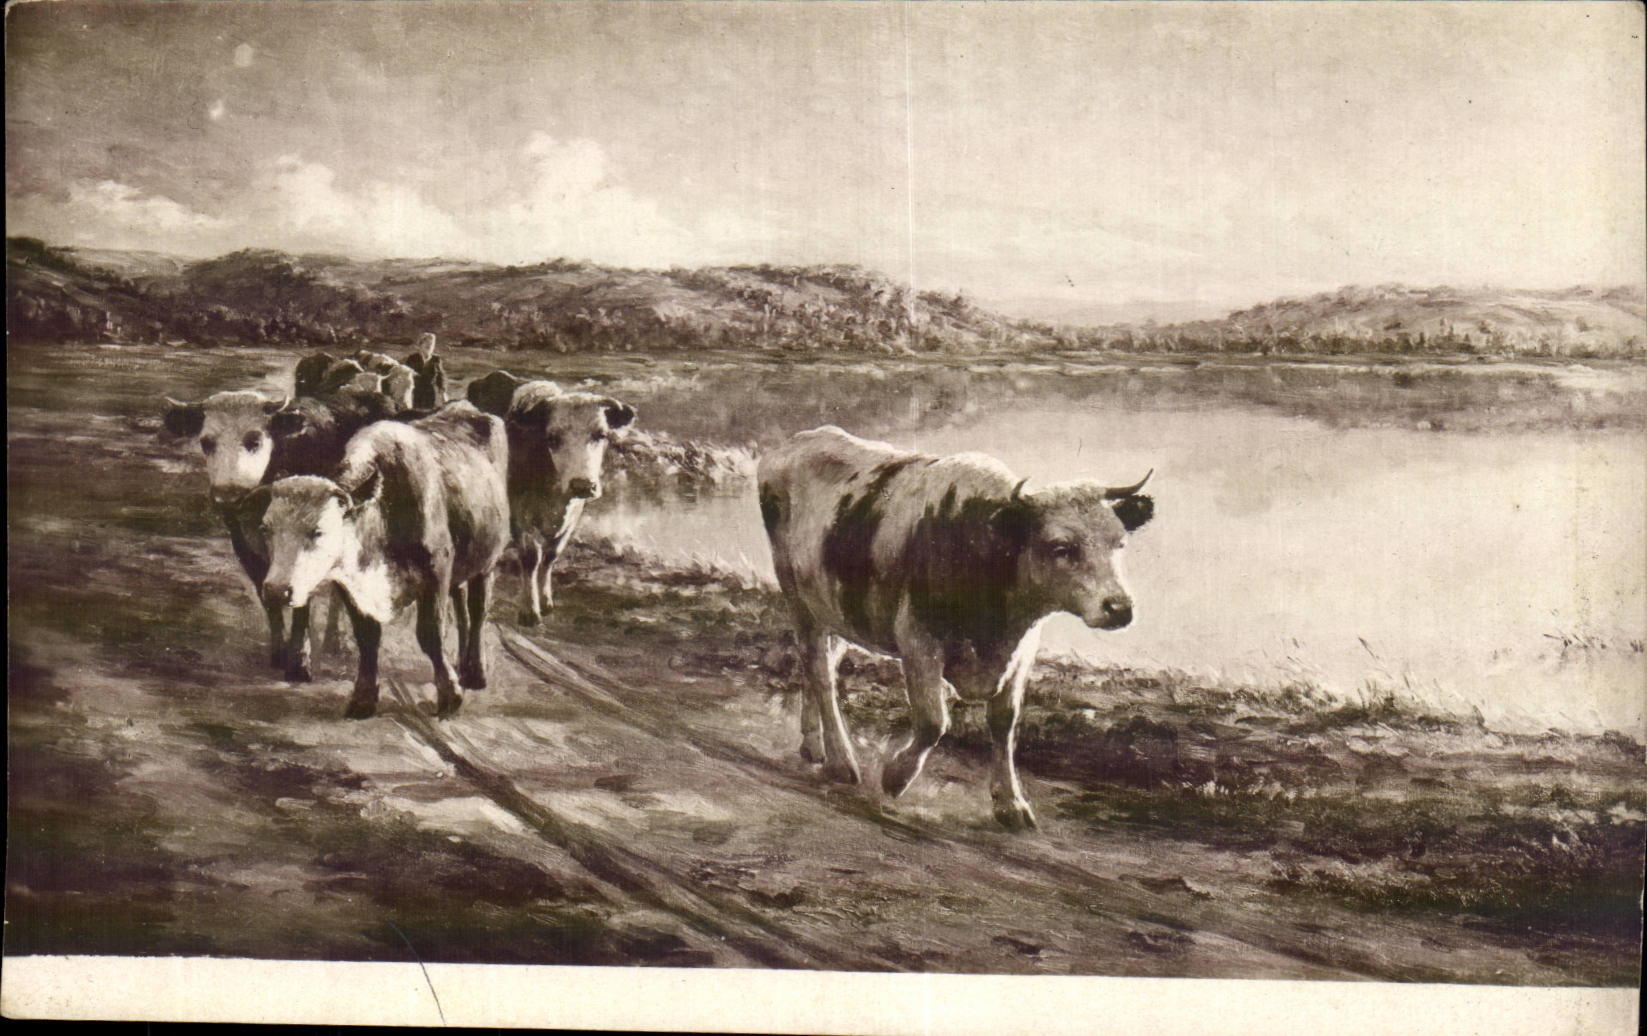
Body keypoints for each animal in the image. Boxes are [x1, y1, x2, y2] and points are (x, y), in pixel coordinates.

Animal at [247, 402, 510, 719]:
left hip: (487, 563)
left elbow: (431, 634)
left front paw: (450, 695)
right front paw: (363, 698)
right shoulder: (351, 584)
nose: (276, 591)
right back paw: (462, 662)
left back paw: (476, 672)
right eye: (265, 528)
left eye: (318, 530)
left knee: (478, 611)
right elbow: (367, 637)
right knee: (462, 608)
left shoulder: (437, 569)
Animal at [465, 370, 636, 626]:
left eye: (601, 434)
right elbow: (531, 558)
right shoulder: (518, 515)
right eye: (552, 437)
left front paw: (546, 601)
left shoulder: (574, 514)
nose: (582, 485)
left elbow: (551, 556)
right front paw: (529, 609)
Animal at [756, 425, 1154, 830]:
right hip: (796, 596)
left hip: (835, 611)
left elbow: (1004, 722)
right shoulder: (918, 640)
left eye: (1119, 543)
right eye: (1061, 547)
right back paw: (840, 761)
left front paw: (1010, 802)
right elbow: (933, 720)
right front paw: (896, 776)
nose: (1119, 608)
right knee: (819, 672)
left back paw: (813, 746)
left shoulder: (1022, 650)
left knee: (820, 665)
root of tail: (800, 441)